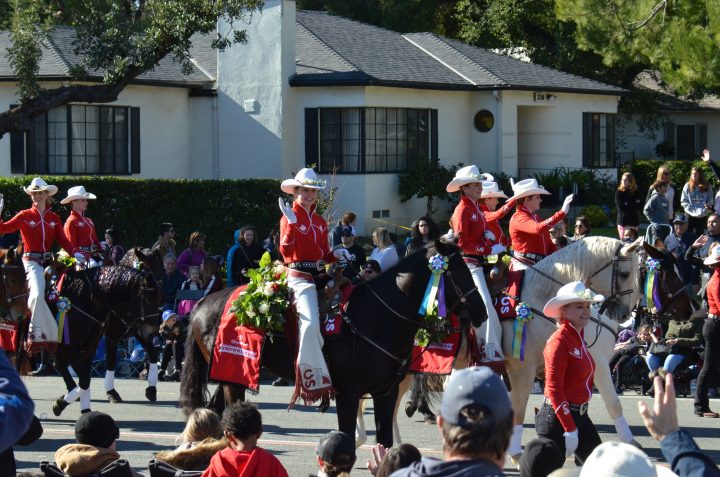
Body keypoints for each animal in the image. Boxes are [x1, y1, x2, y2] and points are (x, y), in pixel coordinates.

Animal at [50, 262, 162, 414]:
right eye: (149, 298)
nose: (155, 332)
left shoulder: (131, 331)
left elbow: (152, 353)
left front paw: (151, 389)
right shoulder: (111, 334)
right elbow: (108, 362)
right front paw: (111, 393)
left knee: (60, 364)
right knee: (60, 364)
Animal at [179, 238, 490, 446]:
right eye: (458, 272)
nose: (481, 312)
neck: (375, 316)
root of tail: (205, 302)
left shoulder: (385, 393)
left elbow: (385, 442)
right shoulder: (349, 393)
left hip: (230, 375)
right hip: (234, 376)